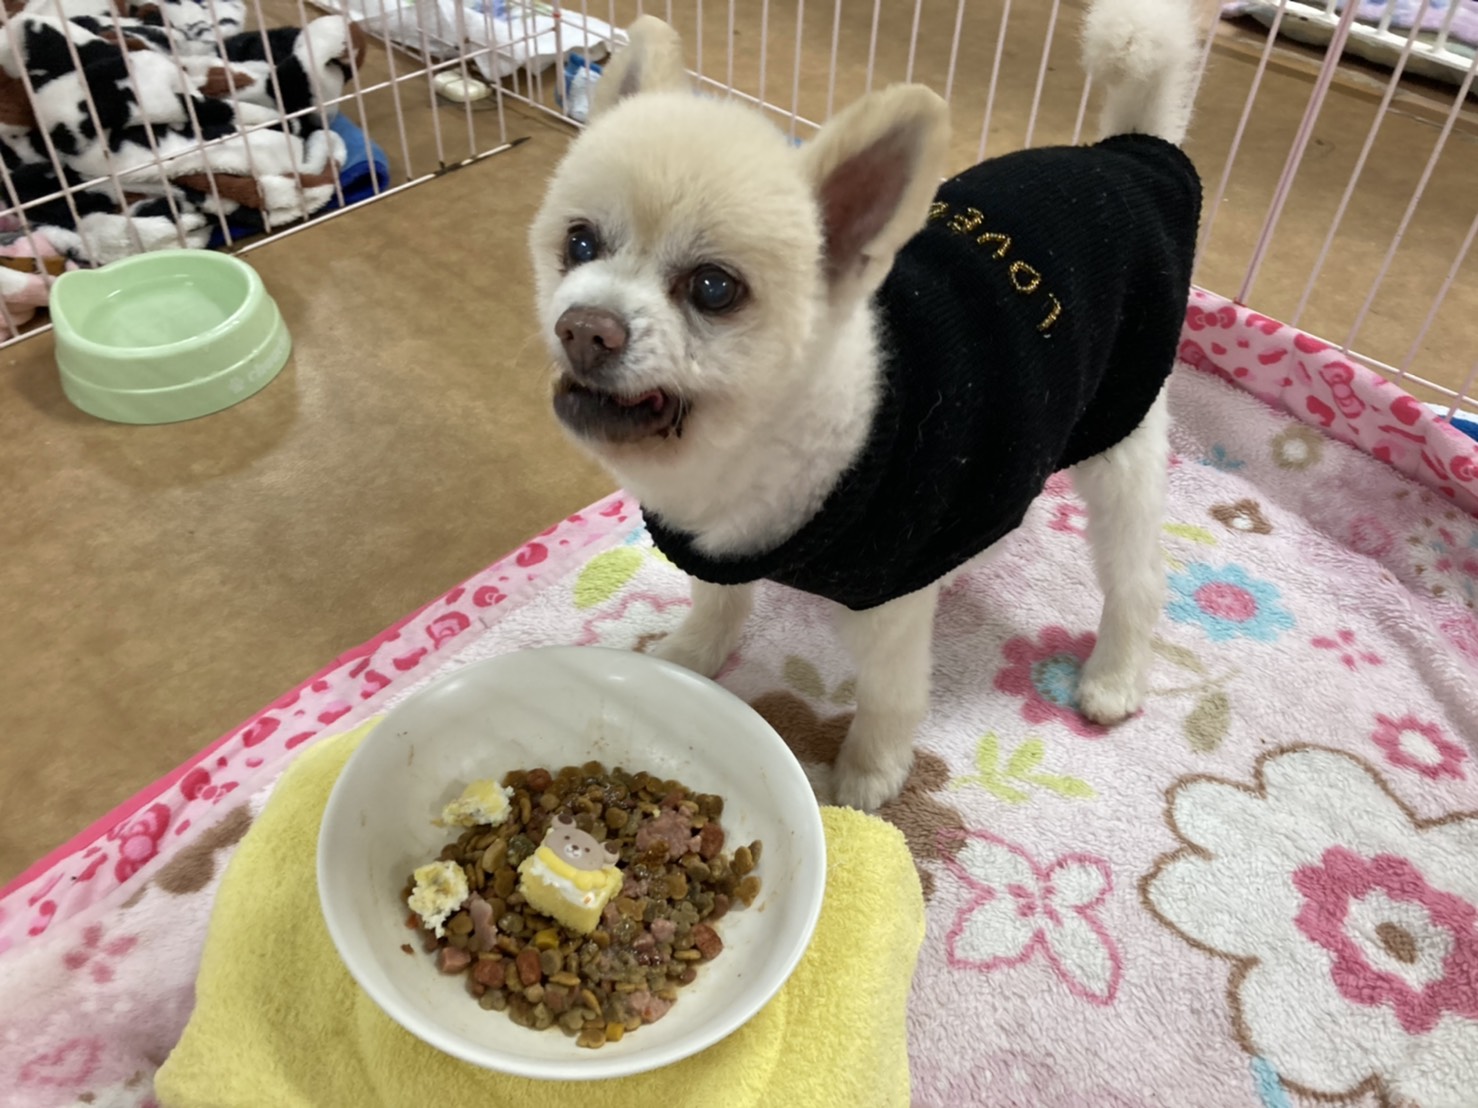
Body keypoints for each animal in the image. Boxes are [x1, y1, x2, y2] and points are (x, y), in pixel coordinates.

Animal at [529, 0, 1206, 811]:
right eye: (579, 244)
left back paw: (1114, 675)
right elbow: (718, 606)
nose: (584, 327)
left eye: (714, 288)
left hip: (1121, 434)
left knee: (1138, 576)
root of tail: (1130, 153)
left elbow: (890, 694)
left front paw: (867, 776)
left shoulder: (891, 601)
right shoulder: (715, 555)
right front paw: (688, 658)